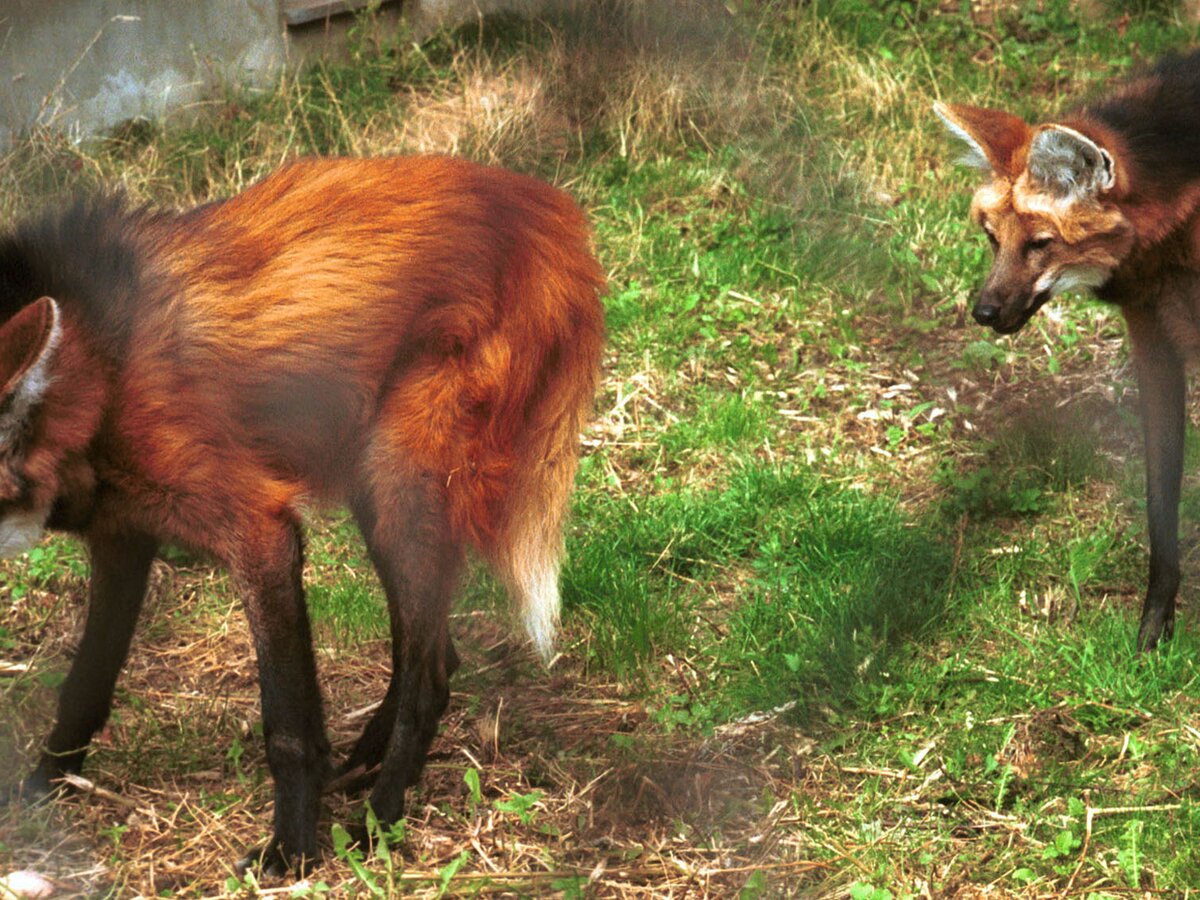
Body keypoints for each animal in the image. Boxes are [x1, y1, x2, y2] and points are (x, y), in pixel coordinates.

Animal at [0, 154, 604, 873]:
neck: (97, 376)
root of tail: (553, 211)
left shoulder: (257, 527)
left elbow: (285, 720)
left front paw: (291, 849)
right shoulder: (122, 535)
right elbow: (86, 682)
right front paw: (42, 788)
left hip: (402, 479)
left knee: (431, 673)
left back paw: (381, 817)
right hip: (379, 489)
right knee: (433, 648)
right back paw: (363, 765)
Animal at [936, 49, 1200, 657]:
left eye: (1041, 243)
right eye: (993, 239)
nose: (984, 312)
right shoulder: (1155, 341)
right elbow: (1160, 501)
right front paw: (1151, 635)